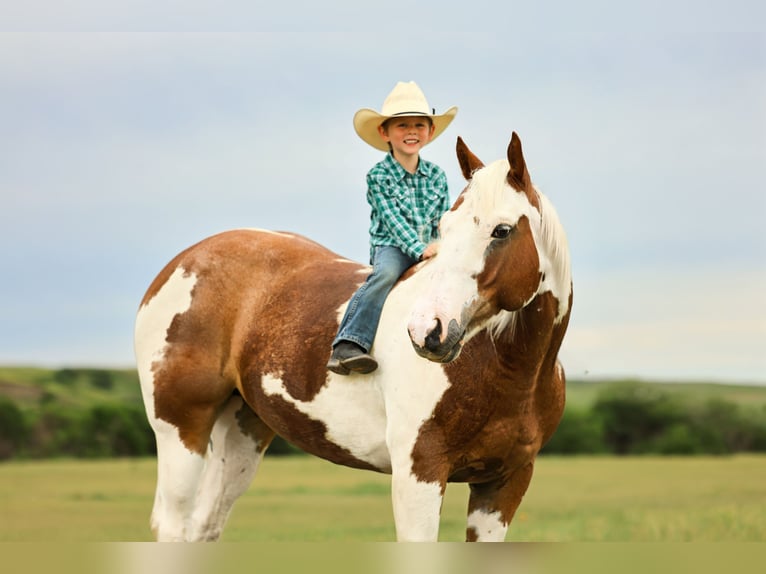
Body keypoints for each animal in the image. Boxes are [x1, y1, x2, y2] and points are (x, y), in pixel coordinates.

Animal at [134, 132, 572, 542]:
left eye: (502, 231)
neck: (506, 369)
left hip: (242, 431)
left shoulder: (504, 483)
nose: (427, 329)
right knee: (173, 523)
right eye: (443, 229)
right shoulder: (419, 474)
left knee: (204, 525)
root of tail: (182, 263)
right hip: (181, 429)